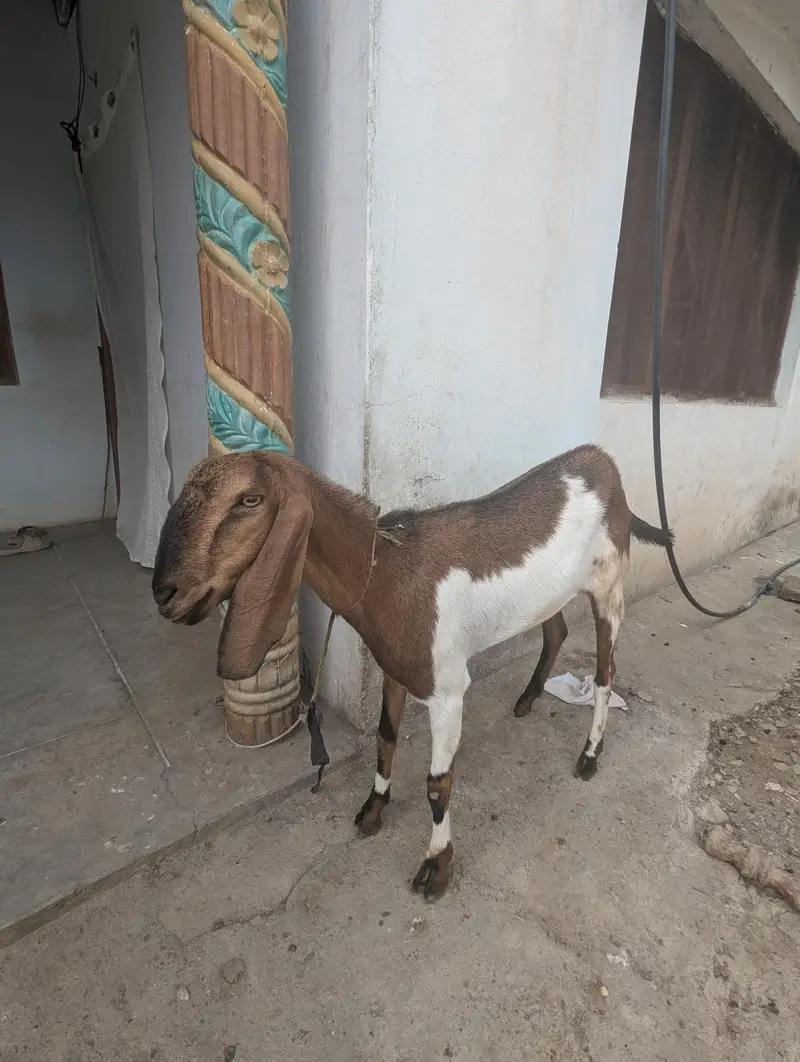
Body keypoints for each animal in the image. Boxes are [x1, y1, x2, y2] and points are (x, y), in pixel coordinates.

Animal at [152, 444, 672, 899]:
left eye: (249, 500)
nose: (164, 592)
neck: (387, 569)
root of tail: (603, 464)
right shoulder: (395, 669)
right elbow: (385, 738)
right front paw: (372, 810)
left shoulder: (446, 690)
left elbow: (437, 786)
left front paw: (436, 868)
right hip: (551, 595)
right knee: (557, 632)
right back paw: (527, 700)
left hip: (609, 587)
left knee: (605, 676)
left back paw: (589, 756)